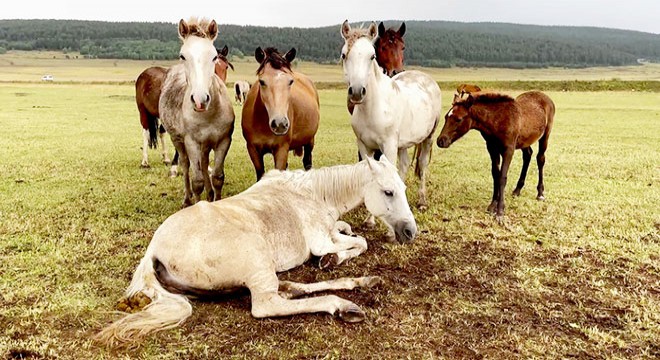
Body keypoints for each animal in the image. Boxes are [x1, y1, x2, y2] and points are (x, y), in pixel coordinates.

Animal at [94, 156, 418, 344]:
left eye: (402, 188)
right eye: (388, 192)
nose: (410, 232)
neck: (315, 194)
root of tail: (153, 251)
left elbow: (349, 232)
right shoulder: (321, 240)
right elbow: (359, 243)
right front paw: (331, 258)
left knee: (289, 288)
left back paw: (361, 283)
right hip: (257, 259)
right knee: (268, 303)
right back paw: (342, 305)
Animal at [160, 18, 235, 207]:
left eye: (214, 56)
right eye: (183, 56)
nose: (200, 100)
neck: (209, 114)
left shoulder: (224, 141)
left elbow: (217, 177)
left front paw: (215, 200)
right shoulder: (192, 142)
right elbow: (197, 182)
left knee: (204, 162)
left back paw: (209, 195)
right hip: (178, 140)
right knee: (186, 165)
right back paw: (187, 200)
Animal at [242, 46, 320, 181]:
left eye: (290, 81)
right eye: (262, 81)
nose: (280, 124)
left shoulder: (281, 149)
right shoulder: (252, 149)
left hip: (310, 141)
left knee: (307, 162)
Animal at [338, 20, 440, 214]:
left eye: (372, 56)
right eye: (344, 55)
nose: (357, 91)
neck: (373, 108)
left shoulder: (389, 145)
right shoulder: (364, 145)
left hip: (428, 138)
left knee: (422, 164)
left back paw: (422, 201)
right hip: (403, 144)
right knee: (404, 165)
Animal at [436, 90, 556, 219]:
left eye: (459, 119)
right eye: (445, 117)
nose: (440, 141)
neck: (497, 120)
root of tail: (545, 96)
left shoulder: (508, 150)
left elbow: (503, 177)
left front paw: (500, 210)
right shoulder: (492, 149)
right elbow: (495, 175)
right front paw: (493, 205)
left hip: (545, 136)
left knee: (540, 158)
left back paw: (540, 193)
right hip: (524, 140)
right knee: (528, 155)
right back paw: (517, 190)